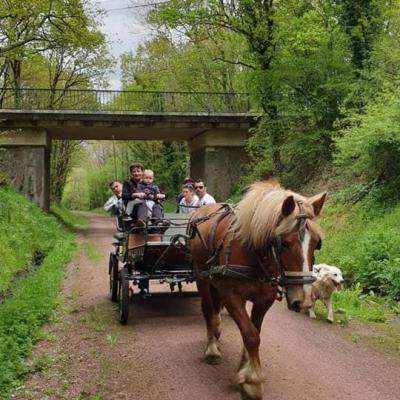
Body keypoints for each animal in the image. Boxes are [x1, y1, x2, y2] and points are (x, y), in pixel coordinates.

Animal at [189, 182, 326, 400]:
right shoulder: (231, 296)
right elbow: (251, 335)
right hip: (202, 278)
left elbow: (254, 332)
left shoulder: (264, 300)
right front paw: (253, 382)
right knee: (208, 310)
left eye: (317, 243)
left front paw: (243, 374)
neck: (255, 253)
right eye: (284, 243)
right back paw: (211, 348)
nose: (303, 301)